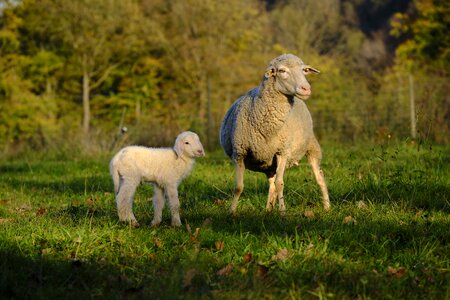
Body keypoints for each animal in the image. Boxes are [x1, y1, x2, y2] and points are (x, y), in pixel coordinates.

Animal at [221, 53, 330, 213]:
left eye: (304, 70)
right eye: (282, 71)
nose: (306, 89)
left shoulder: (282, 151)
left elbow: (280, 183)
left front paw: (283, 211)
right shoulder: (239, 153)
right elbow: (239, 187)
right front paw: (231, 211)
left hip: (311, 146)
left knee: (319, 177)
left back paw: (327, 206)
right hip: (269, 163)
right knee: (271, 184)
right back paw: (268, 209)